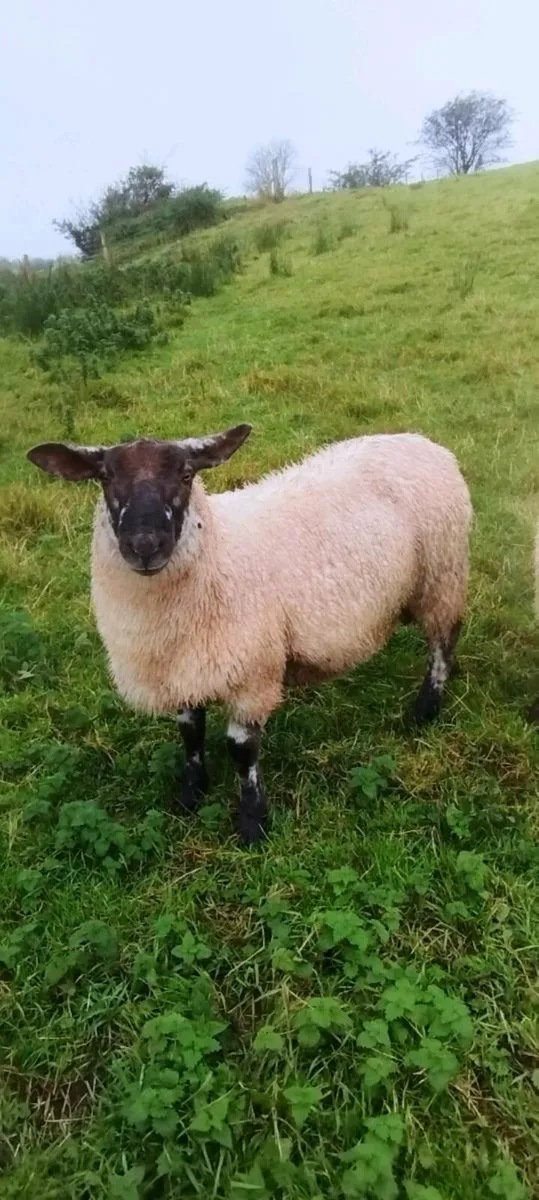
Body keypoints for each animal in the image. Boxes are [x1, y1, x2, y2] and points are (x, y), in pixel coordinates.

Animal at [27, 426, 472, 845]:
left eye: (186, 474)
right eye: (104, 477)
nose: (145, 545)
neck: (218, 553)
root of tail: (422, 442)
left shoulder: (252, 674)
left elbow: (242, 752)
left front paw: (253, 822)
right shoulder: (183, 669)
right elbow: (190, 734)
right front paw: (191, 794)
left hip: (443, 576)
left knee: (444, 641)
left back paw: (426, 708)